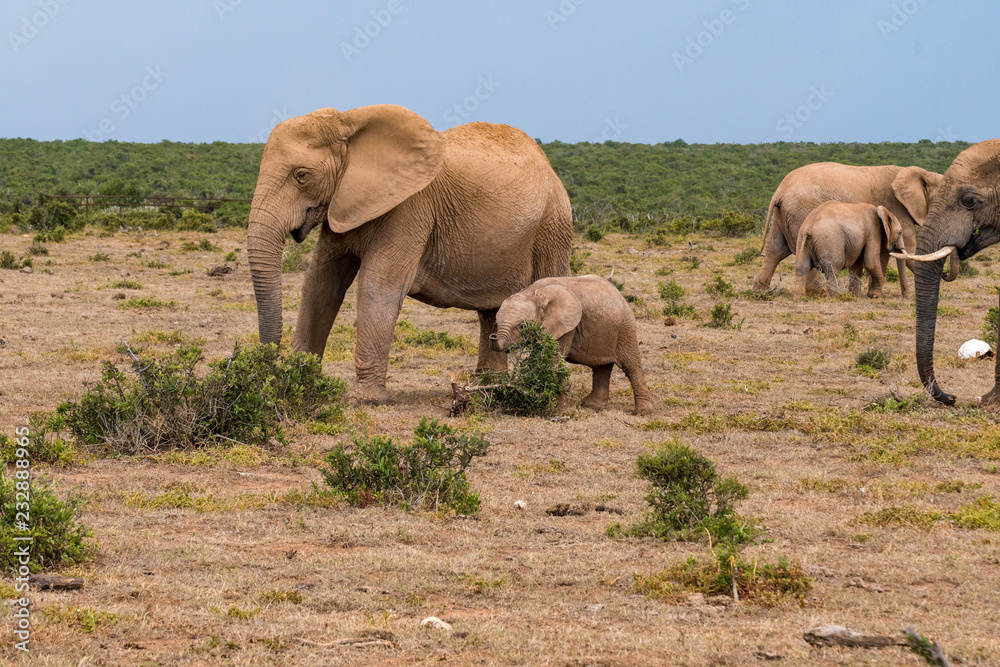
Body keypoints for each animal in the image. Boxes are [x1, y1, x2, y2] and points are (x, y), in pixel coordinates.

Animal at [246, 104, 572, 404]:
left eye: (301, 175)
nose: (268, 373)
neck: (349, 123)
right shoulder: (342, 204)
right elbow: (321, 282)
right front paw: (299, 385)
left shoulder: (410, 208)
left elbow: (379, 286)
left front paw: (363, 400)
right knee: (493, 309)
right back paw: (487, 389)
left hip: (553, 225)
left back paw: (547, 391)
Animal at [490, 275, 653, 415]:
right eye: (496, 322)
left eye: (522, 326)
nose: (492, 337)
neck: (533, 293)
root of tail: (619, 293)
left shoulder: (565, 327)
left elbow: (553, 361)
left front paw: (558, 410)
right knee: (602, 367)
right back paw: (591, 406)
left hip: (625, 328)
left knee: (631, 365)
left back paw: (642, 412)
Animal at [753, 162, 959, 296]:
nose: (905, 295)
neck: (923, 174)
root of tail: (779, 190)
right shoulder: (898, 210)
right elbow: (907, 250)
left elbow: (884, 253)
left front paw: (871, 294)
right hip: (801, 212)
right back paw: (817, 293)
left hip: (783, 215)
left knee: (775, 250)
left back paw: (760, 291)